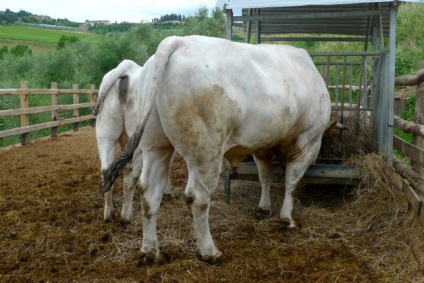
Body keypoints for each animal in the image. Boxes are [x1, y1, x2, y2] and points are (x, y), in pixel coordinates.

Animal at [93, 59, 174, 224]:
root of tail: (126, 68)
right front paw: (168, 191)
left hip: (105, 133)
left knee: (106, 170)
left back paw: (108, 213)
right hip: (139, 138)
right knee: (132, 173)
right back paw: (126, 216)